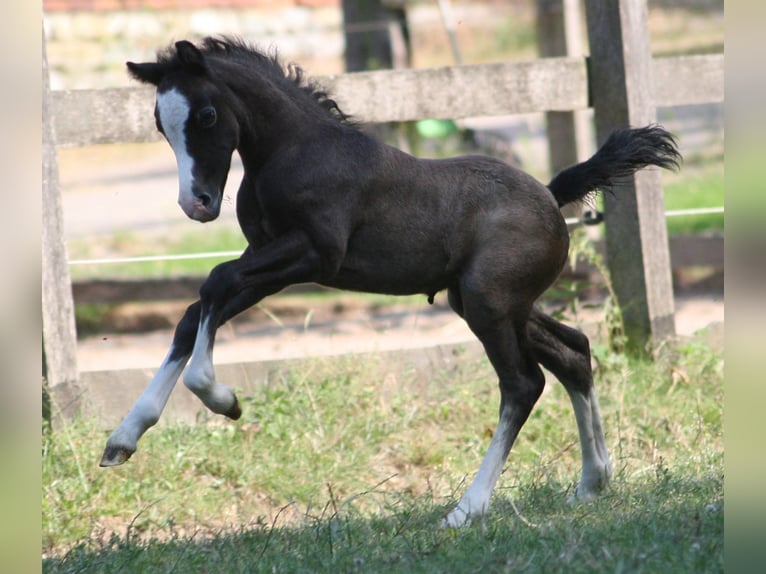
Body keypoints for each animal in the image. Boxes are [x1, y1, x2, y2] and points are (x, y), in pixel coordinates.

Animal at [99, 38, 680, 528]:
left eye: (207, 114)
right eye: (160, 123)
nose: (195, 203)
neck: (294, 152)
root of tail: (552, 193)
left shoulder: (312, 254)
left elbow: (214, 284)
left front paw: (222, 399)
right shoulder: (267, 259)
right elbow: (198, 308)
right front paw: (124, 437)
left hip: (490, 304)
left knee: (523, 383)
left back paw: (466, 510)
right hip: (487, 301)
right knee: (573, 352)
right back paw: (592, 481)